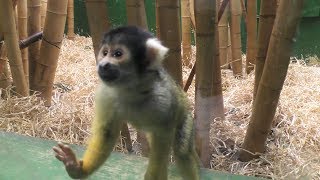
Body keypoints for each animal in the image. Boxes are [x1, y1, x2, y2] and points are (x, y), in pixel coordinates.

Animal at [53, 25, 199, 180]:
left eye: (118, 54)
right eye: (105, 53)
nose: (103, 65)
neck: (132, 88)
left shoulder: (163, 101)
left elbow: (162, 141)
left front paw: (152, 176)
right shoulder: (106, 94)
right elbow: (107, 133)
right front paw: (76, 168)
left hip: (185, 117)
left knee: (182, 151)